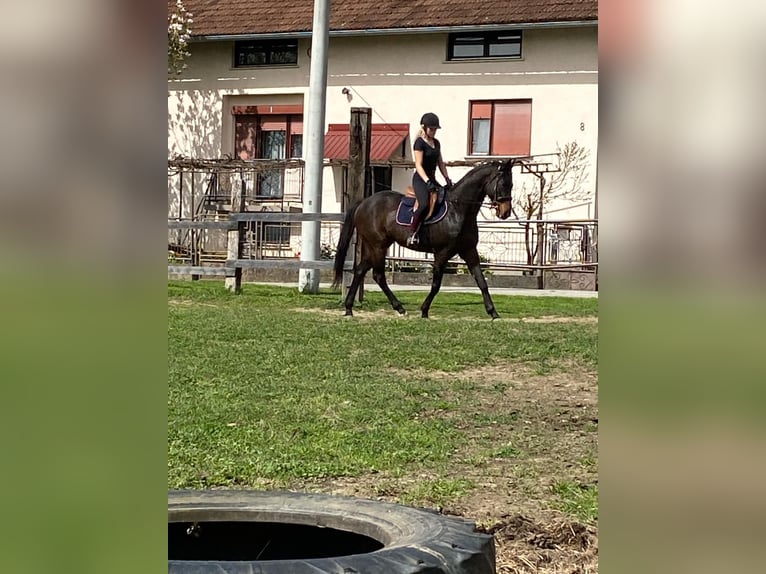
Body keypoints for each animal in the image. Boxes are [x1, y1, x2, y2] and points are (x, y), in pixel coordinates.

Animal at [332, 160, 516, 320]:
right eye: (503, 184)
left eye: (511, 185)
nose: (505, 212)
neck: (458, 210)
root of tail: (364, 202)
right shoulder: (442, 253)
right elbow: (436, 285)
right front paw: (424, 310)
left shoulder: (469, 251)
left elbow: (481, 282)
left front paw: (493, 313)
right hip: (378, 246)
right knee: (378, 276)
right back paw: (399, 308)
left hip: (374, 246)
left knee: (360, 270)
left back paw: (349, 308)